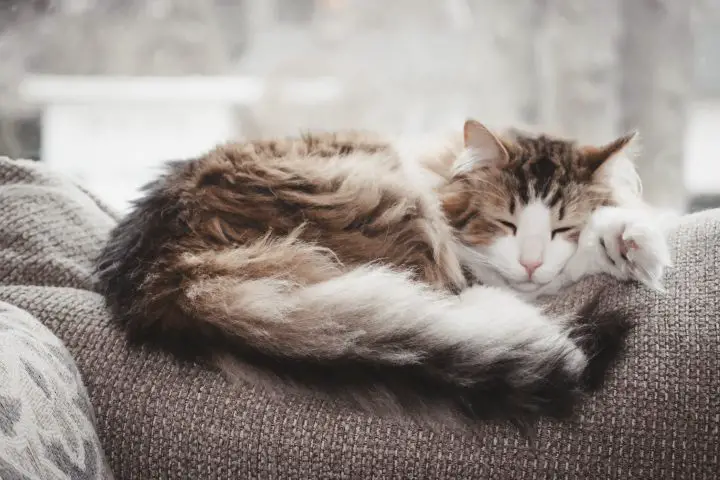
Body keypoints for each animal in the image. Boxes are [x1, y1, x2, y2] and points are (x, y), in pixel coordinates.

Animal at [94, 120, 668, 428]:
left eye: (561, 227)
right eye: (503, 222)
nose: (530, 262)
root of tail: (162, 275)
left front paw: (629, 242)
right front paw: (622, 245)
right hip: (391, 202)